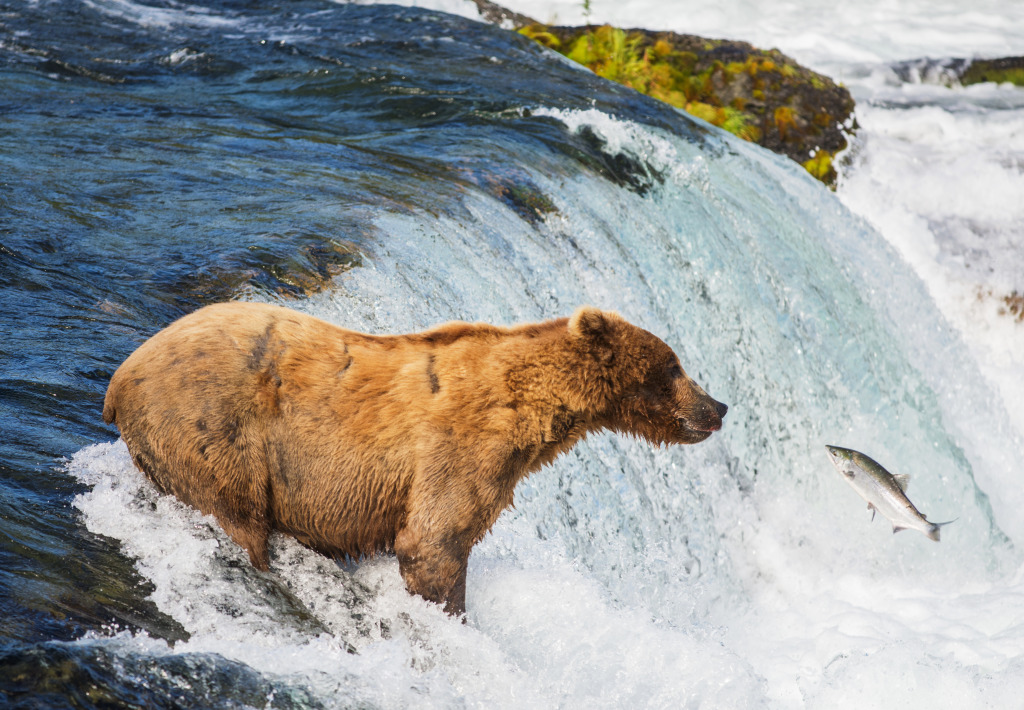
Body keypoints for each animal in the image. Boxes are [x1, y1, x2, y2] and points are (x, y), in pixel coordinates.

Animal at [101, 301, 729, 610]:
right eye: (674, 368)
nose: (718, 406)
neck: (535, 406)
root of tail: (120, 376)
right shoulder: (463, 447)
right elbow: (435, 541)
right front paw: (450, 613)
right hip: (213, 427)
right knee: (237, 516)